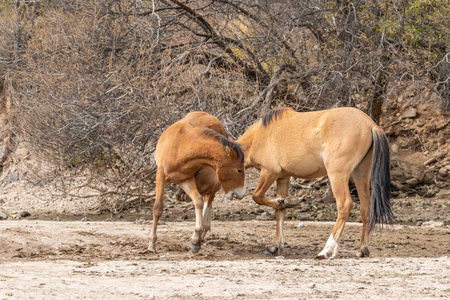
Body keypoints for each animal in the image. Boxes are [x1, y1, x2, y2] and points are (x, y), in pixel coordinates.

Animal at [151, 112, 246, 253]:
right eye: (239, 170)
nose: (241, 193)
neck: (181, 147)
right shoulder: (163, 177)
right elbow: (158, 208)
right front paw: (151, 244)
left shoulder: (187, 180)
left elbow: (199, 202)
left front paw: (196, 240)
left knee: (208, 199)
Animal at [237, 106, 392, 258]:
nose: (238, 194)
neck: (260, 134)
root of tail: (370, 124)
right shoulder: (283, 177)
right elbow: (279, 212)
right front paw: (276, 245)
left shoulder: (269, 172)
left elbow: (257, 196)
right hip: (361, 174)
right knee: (365, 208)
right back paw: (362, 249)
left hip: (337, 174)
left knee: (344, 206)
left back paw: (326, 251)